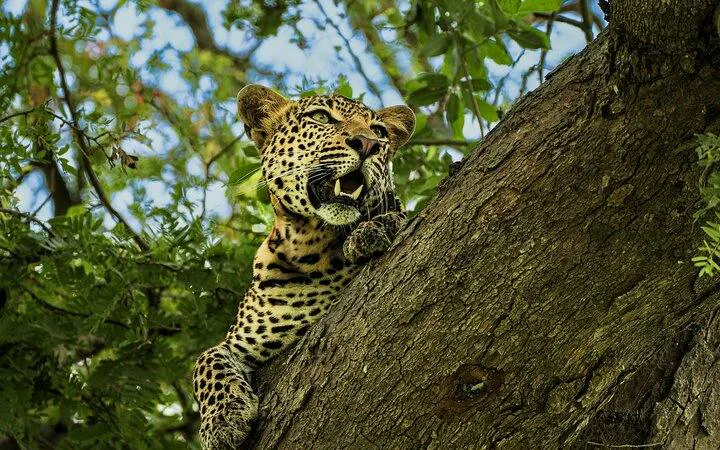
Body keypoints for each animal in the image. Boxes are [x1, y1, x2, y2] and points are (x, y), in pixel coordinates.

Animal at [192, 84, 415, 449]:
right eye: (321, 117)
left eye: (379, 132)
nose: (368, 144)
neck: (311, 243)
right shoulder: (239, 340)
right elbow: (206, 361)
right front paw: (222, 421)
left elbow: (400, 214)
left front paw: (372, 231)